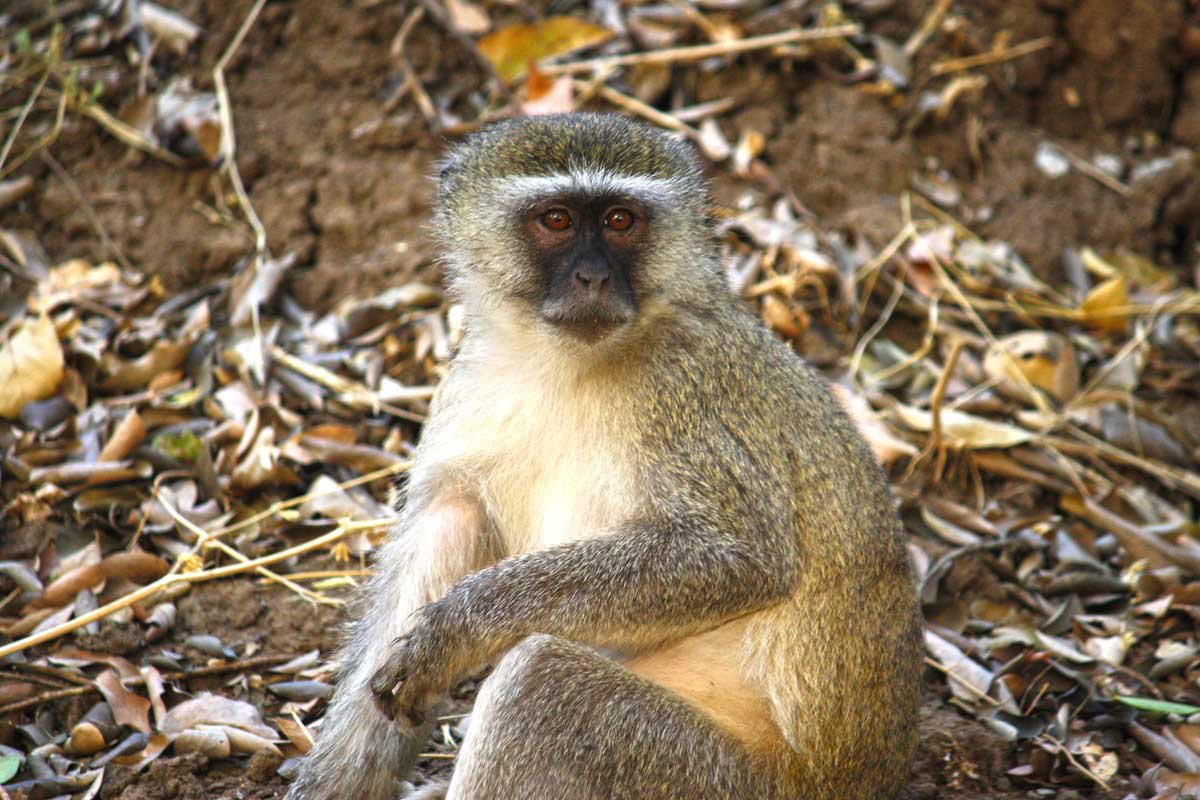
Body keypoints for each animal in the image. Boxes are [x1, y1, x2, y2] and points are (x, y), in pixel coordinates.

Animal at [285, 113, 921, 800]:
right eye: (557, 220)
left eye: (620, 221)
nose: (592, 278)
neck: (563, 365)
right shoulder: (470, 389)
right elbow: (449, 517)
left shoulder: (685, 389)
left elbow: (741, 558)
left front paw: (456, 628)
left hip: (711, 778)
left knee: (541, 684)